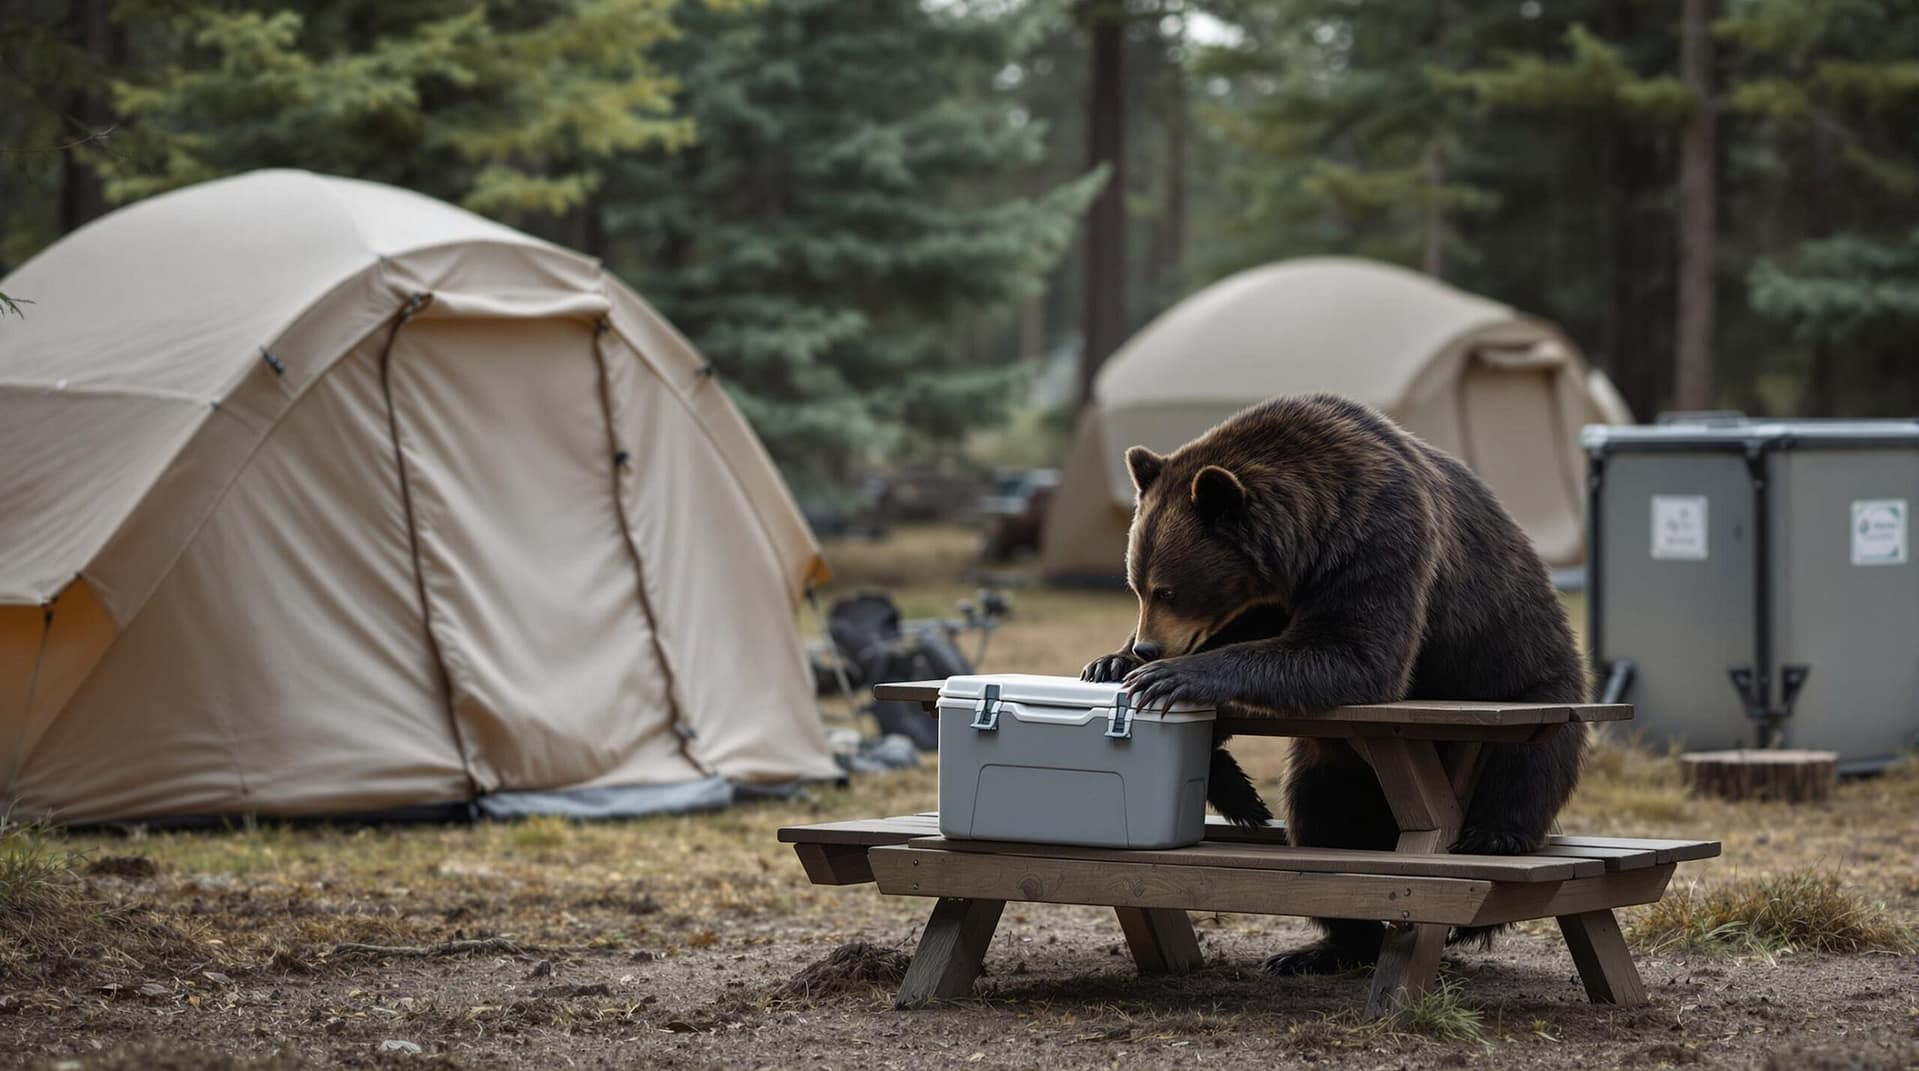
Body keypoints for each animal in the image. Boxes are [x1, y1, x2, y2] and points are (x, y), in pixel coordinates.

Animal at [1080, 392, 1587, 976]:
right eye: (1136, 585)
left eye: (1168, 590)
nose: (1148, 648)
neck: (1306, 543)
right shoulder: (1270, 597)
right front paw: (1110, 664)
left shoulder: (1379, 540)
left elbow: (1356, 651)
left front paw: (1170, 677)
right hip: (1338, 762)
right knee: (1323, 811)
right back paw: (1321, 948)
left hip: (1525, 674)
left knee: (1527, 764)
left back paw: (1495, 837)